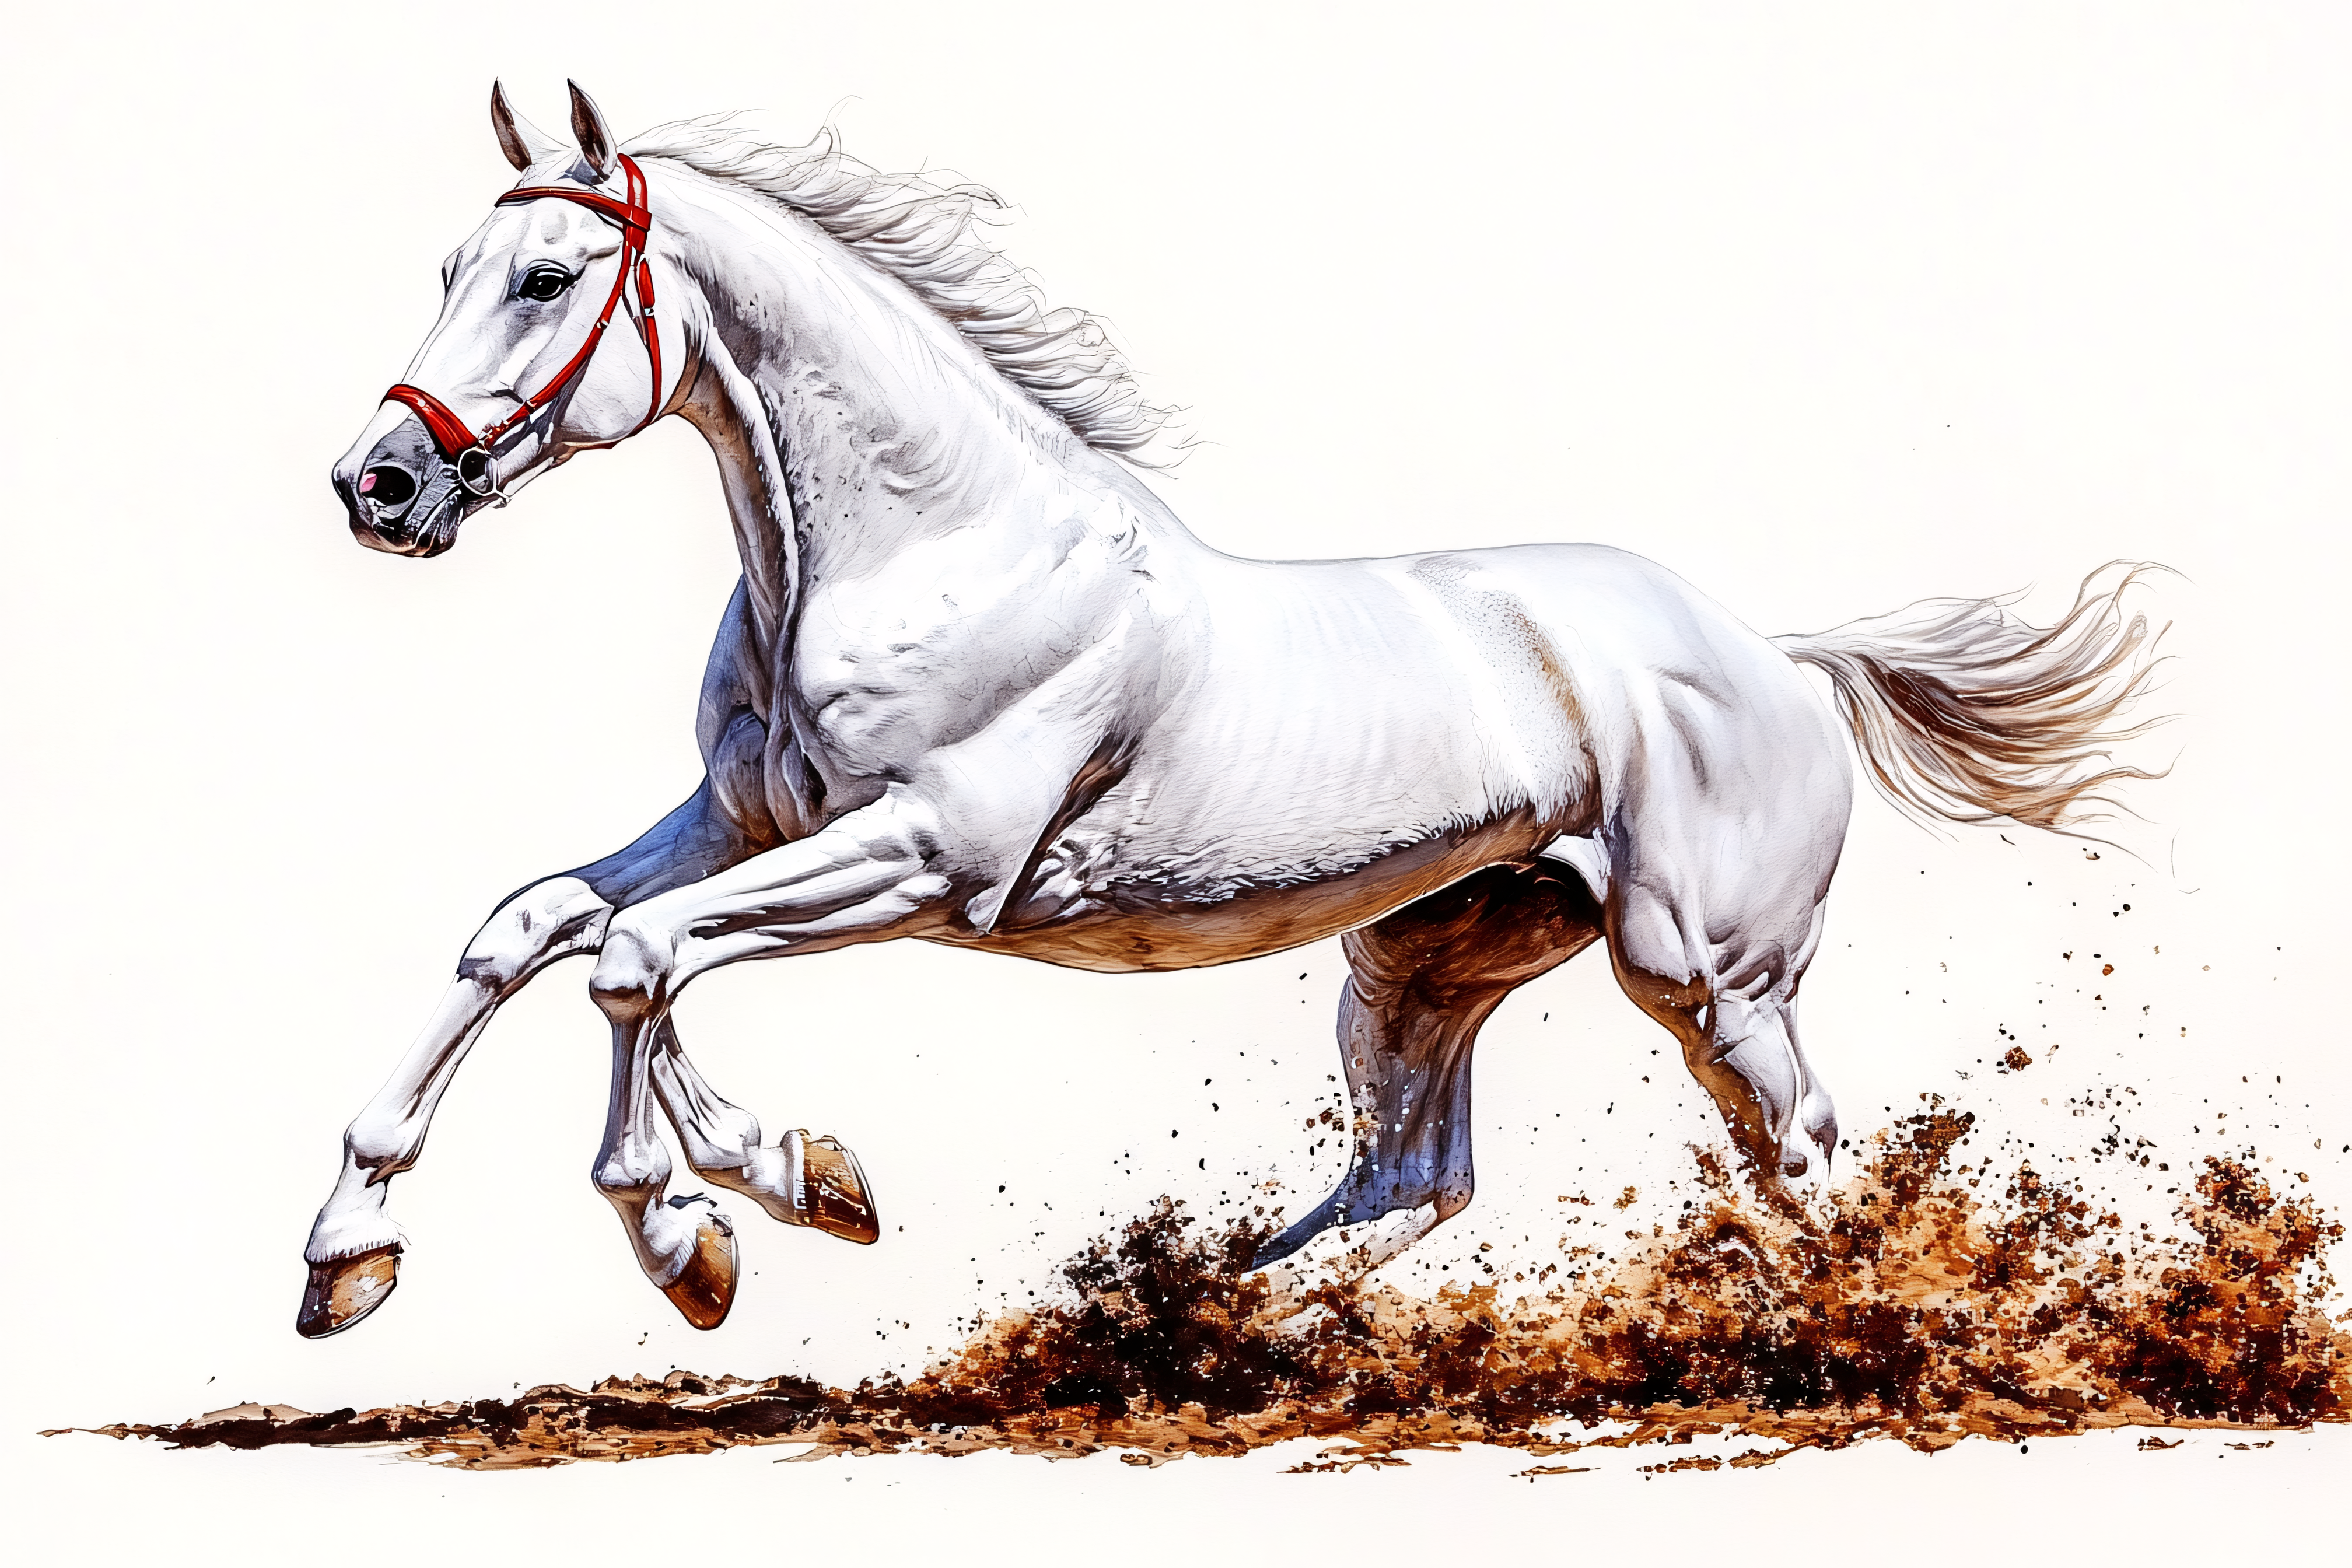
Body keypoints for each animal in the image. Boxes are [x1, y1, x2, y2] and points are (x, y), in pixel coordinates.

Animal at [301, 83, 2160, 1338]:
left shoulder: (925, 863)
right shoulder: (741, 822)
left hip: (1702, 975)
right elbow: (533, 930)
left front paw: (723, 1216)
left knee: (1800, 1150)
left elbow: (635, 964)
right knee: (1418, 1179)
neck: (924, 544)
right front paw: (351, 1255)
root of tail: (1773, 651)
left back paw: (1840, 1339)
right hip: (1420, 964)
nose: (378, 485)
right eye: (456, 262)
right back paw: (1211, 1319)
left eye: (548, 279)